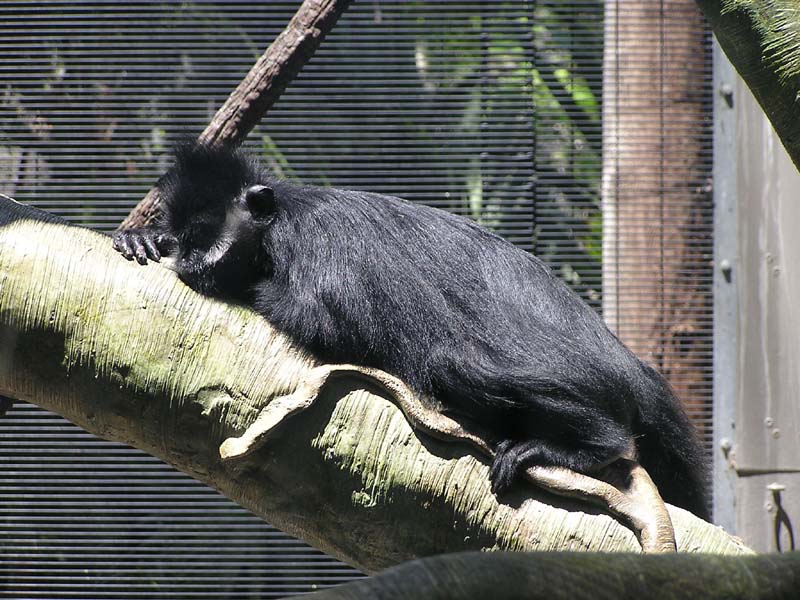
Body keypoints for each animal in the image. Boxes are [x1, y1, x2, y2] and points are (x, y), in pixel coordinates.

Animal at [112, 142, 710, 520]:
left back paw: (594, 448)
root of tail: (631, 365)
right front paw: (143, 240)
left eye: (203, 236)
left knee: (458, 361)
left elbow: (319, 320)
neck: (281, 220)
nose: (189, 258)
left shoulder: (319, 249)